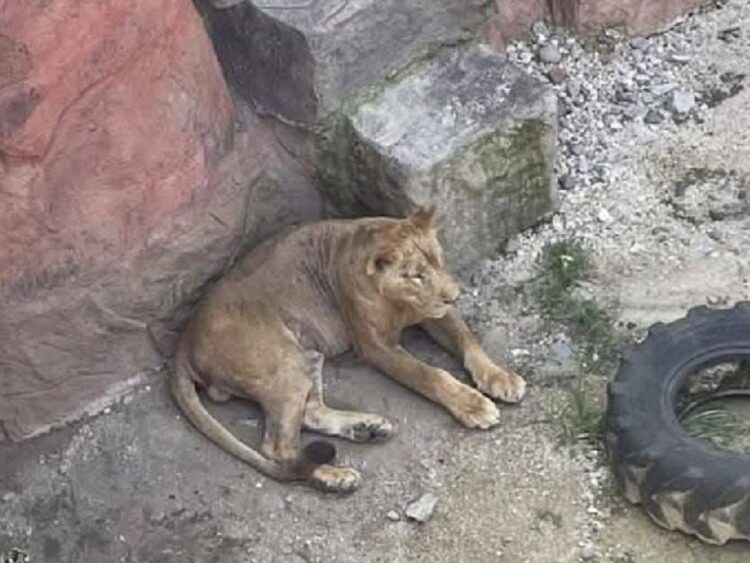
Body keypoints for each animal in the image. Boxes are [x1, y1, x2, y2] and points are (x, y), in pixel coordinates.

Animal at [171, 206, 526, 492]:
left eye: (439, 260)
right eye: (415, 276)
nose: (455, 295)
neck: (398, 302)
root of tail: (183, 342)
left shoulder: (435, 314)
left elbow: (469, 341)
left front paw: (500, 378)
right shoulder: (376, 346)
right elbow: (428, 375)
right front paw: (473, 405)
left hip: (307, 355)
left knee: (310, 413)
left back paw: (368, 428)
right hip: (284, 363)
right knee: (277, 449)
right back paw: (335, 476)